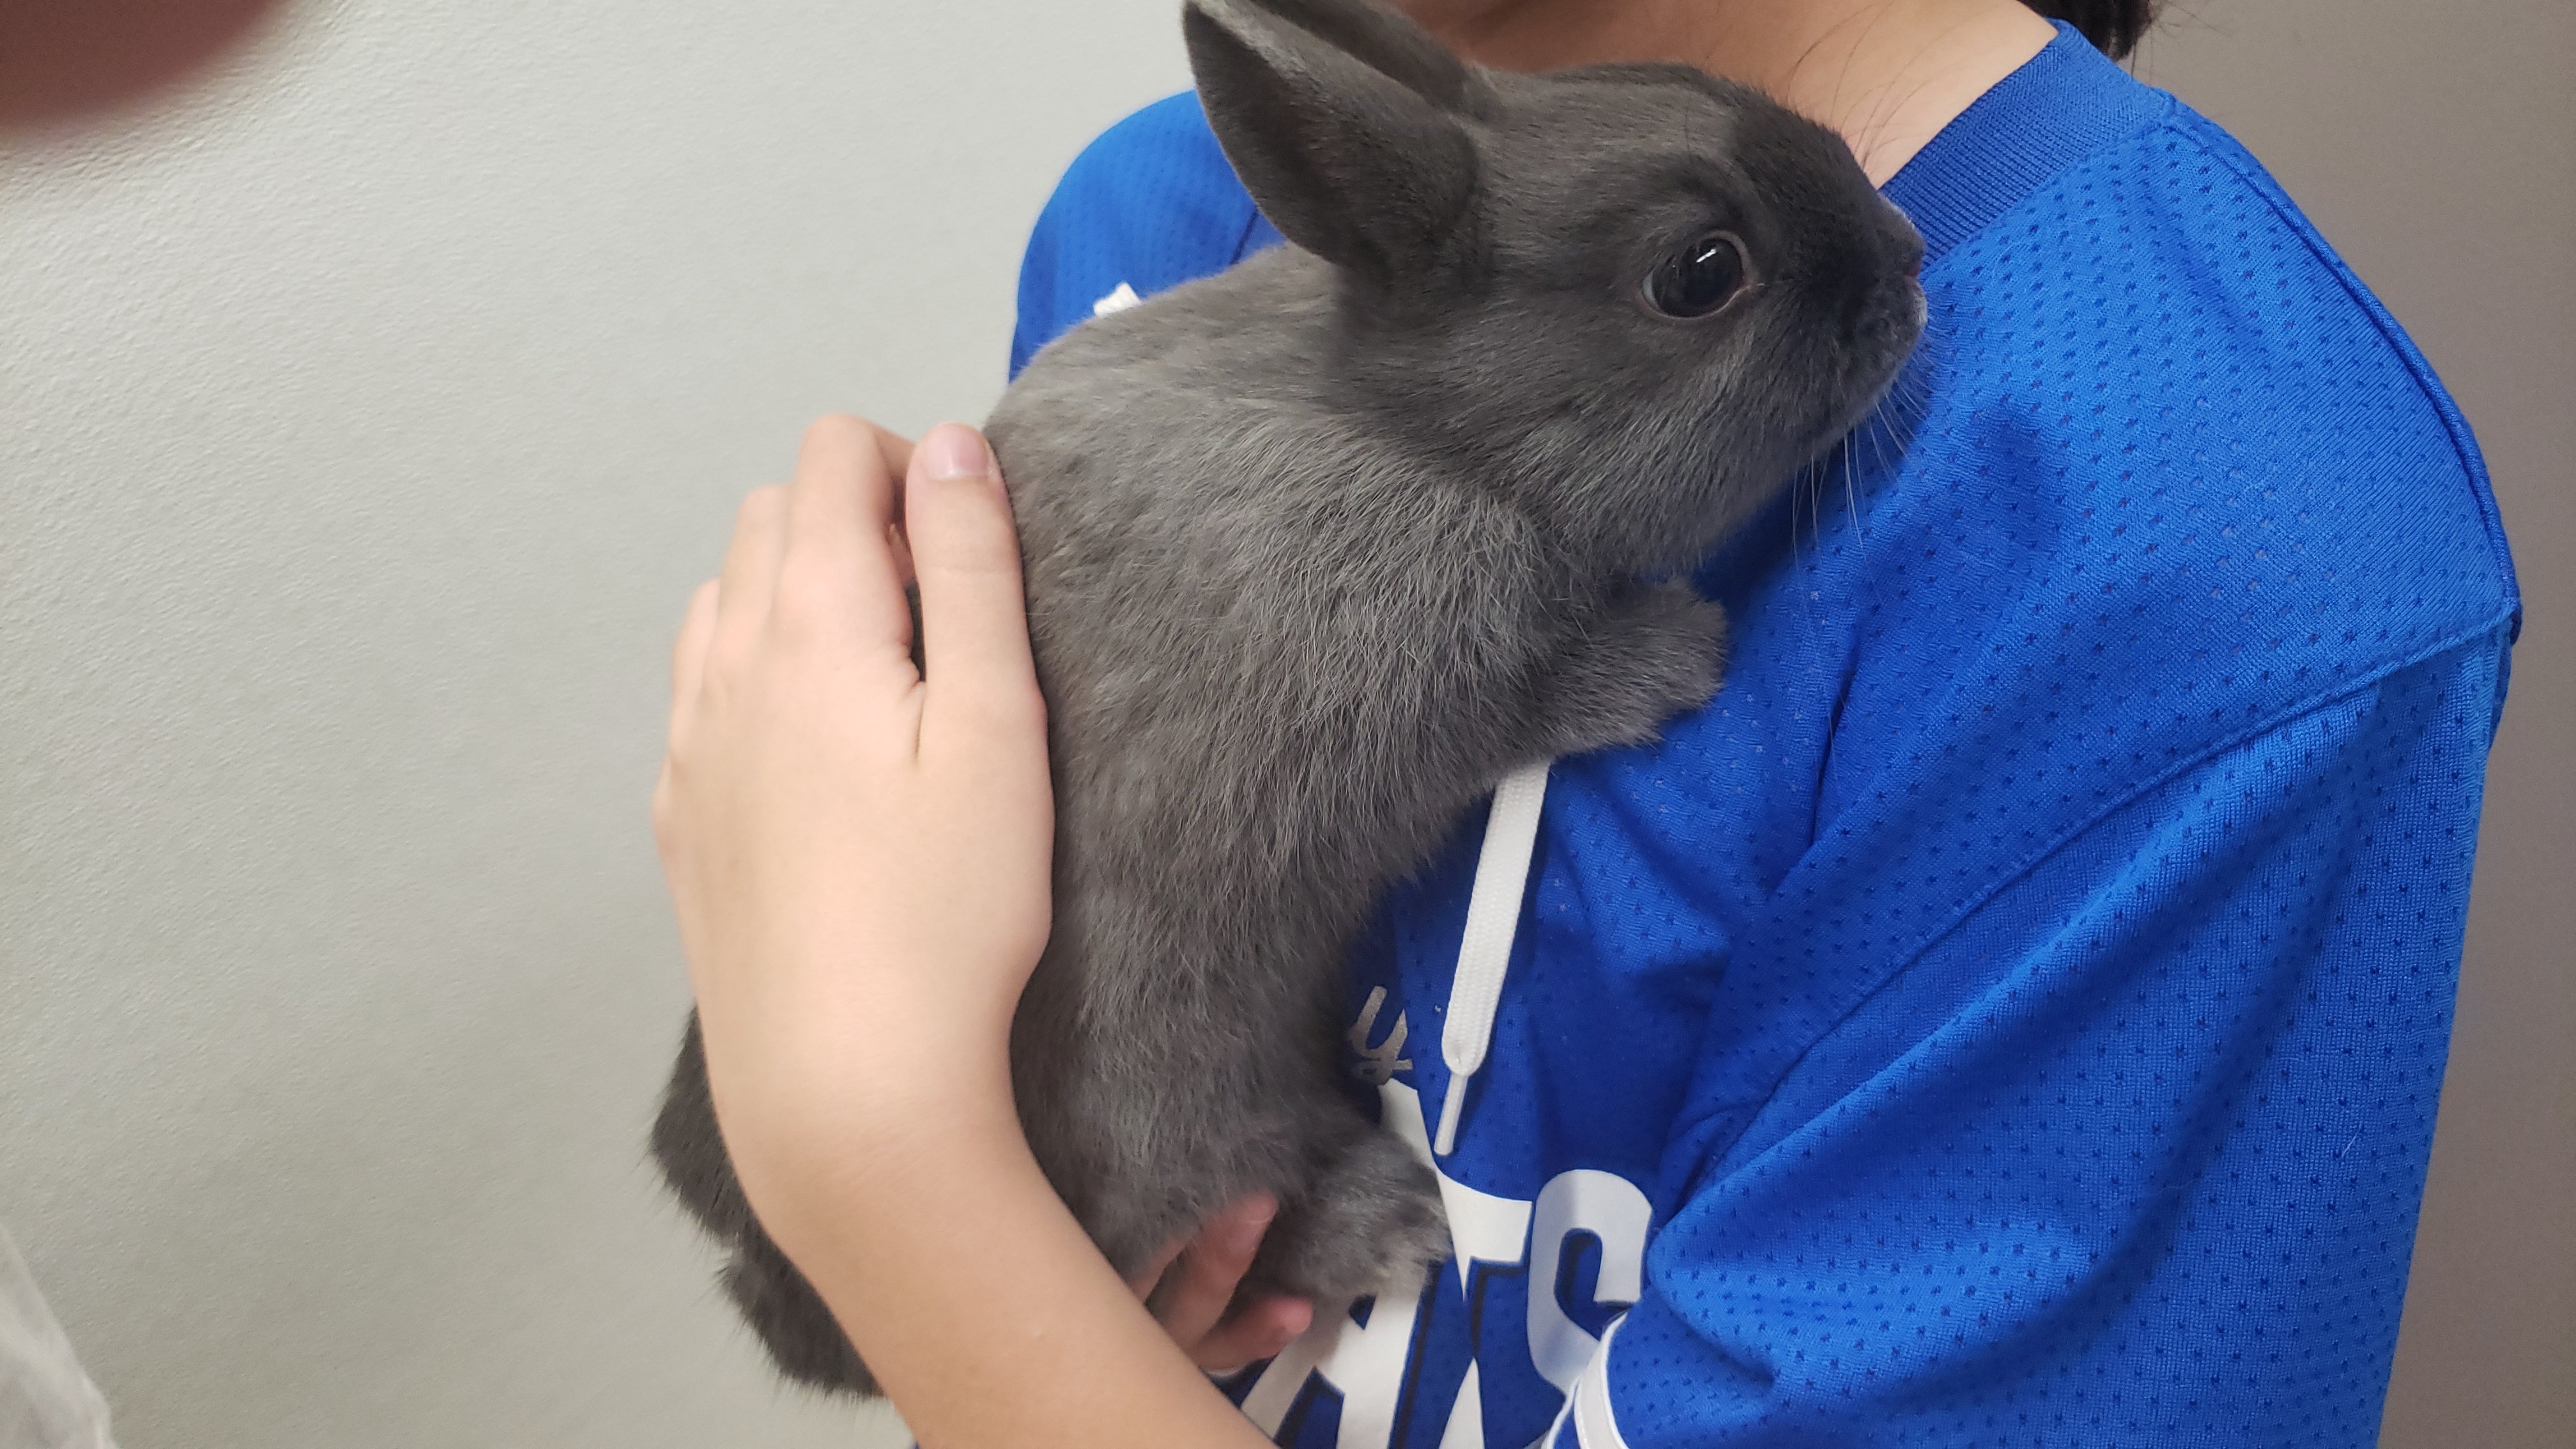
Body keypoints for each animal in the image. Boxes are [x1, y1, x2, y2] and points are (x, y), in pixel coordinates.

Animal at [650, 0, 1926, 1398]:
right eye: (1699, 272)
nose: (1908, 261)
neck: (1418, 428)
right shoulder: (1431, 673)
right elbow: (1542, 686)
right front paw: (1682, 653)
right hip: (1184, 1111)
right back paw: (1391, 1222)